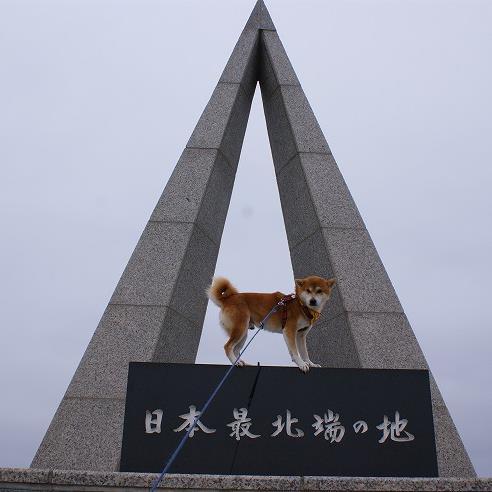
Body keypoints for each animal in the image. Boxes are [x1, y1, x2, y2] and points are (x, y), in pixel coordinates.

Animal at [206, 276, 336, 372]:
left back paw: (242, 362)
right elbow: (295, 351)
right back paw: (236, 362)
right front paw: (301, 364)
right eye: (308, 291)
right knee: (228, 347)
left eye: (319, 291)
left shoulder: (301, 335)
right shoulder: (289, 330)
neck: (301, 306)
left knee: (236, 350)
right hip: (240, 328)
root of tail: (227, 299)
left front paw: (310, 363)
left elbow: (304, 352)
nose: (312, 301)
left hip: (243, 333)